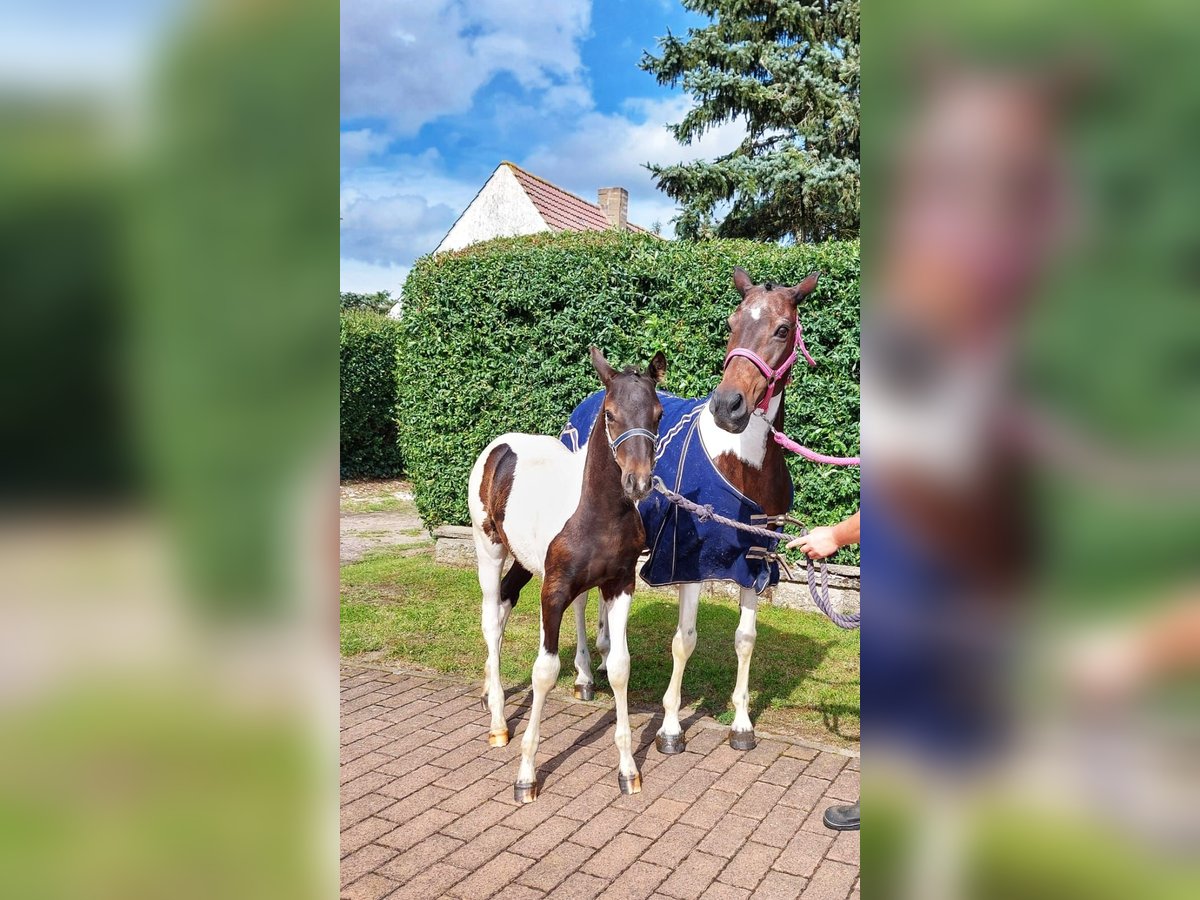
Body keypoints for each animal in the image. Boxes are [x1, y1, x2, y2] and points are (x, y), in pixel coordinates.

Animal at [465, 345, 667, 801]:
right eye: (609, 413)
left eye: (659, 413)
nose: (638, 482)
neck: (596, 514)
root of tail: (499, 446)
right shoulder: (554, 590)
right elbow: (544, 671)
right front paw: (525, 775)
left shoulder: (620, 585)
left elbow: (620, 665)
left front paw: (628, 770)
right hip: (490, 549)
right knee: (490, 619)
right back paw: (498, 722)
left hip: (524, 562)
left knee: (505, 603)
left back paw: (488, 693)